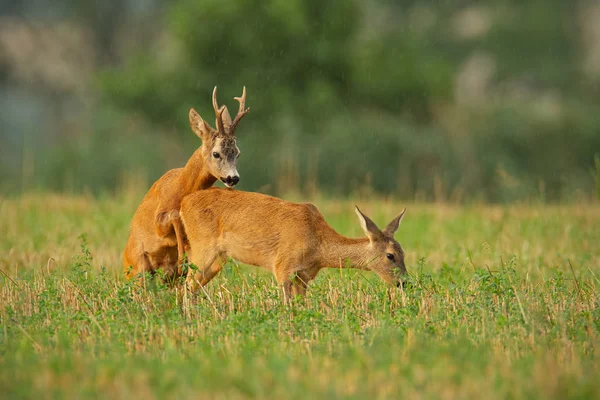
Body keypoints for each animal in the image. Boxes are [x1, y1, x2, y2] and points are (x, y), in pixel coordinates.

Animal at [123, 87, 250, 280]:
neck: (181, 187)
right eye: (216, 153)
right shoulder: (158, 220)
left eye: (237, 153)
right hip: (137, 268)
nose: (233, 178)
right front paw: (182, 257)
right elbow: (175, 214)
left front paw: (184, 257)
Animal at [179, 189, 408, 302]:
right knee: (186, 284)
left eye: (403, 253)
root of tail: (182, 204)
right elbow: (287, 304)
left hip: (218, 259)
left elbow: (301, 304)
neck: (317, 245)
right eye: (390, 255)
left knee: (192, 286)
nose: (405, 282)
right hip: (202, 248)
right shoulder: (283, 265)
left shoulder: (304, 275)